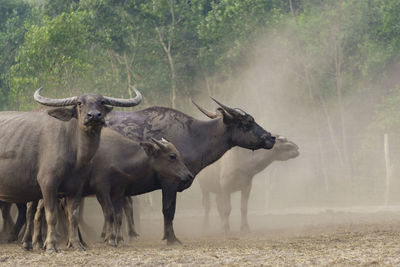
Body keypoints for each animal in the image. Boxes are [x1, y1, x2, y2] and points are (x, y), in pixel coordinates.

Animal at [0, 87, 142, 252]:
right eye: (80, 103)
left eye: (101, 102)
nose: (94, 115)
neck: (74, 150)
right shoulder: (48, 183)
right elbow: (51, 216)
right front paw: (51, 245)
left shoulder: (77, 188)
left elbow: (73, 216)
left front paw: (77, 244)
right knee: (29, 211)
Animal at [100, 98, 276, 245]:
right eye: (247, 122)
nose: (271, 138)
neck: (193, 136)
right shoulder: (169, 182)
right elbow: (168, 210)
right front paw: (171, 239)